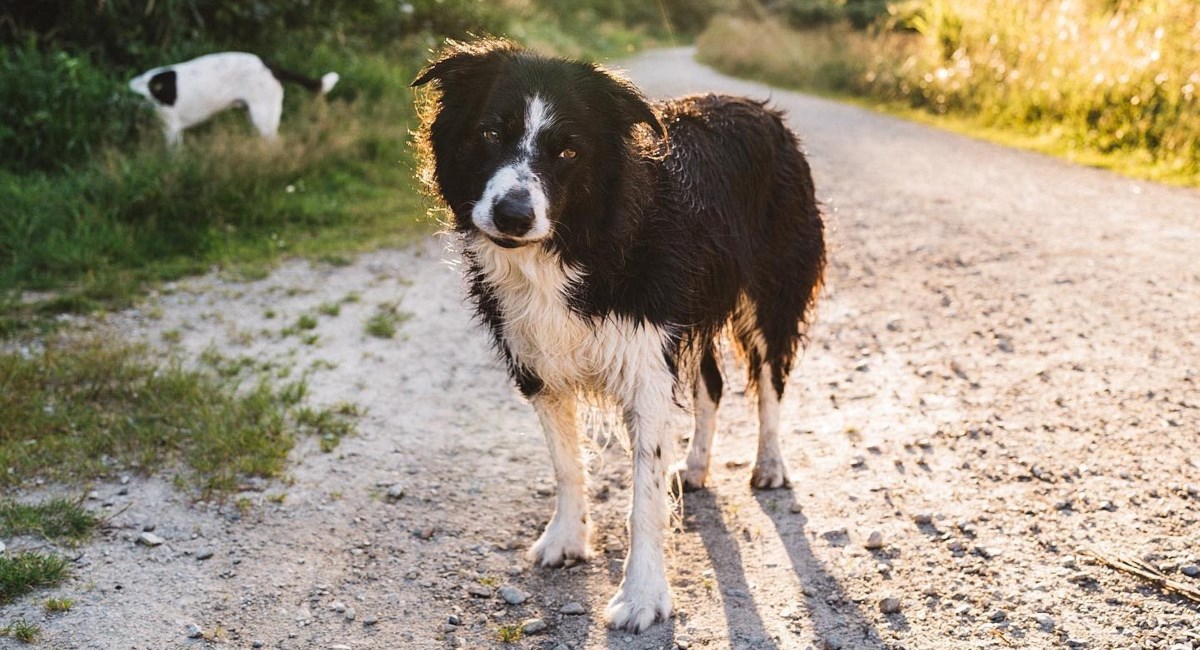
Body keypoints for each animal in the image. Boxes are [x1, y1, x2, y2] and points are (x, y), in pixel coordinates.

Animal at [412, 38, 825, 633]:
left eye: (568, 152)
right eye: (489, 132)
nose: (512, 216)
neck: (572, 247)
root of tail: (766, 111)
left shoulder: (647, 363)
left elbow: (644, 498)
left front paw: (643, 597)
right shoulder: (541, 363)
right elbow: (566, 465)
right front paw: (566, 540)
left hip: (772, 288)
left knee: (770, 380)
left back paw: (769, 466)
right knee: (713, 385)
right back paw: (695, 467)